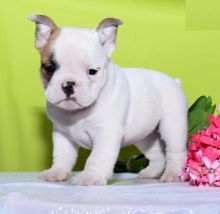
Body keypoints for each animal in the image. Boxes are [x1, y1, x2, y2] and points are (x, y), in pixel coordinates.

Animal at [29, 15, 187, 186]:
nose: (69, 84)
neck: (77, 113)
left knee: (175, 151)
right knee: (157, 153)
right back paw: (151, 173)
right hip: (145, 136)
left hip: (172, 126)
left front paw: (90, 177)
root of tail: (174, 82)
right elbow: (63, 156)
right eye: (50, 68)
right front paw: (56, 172)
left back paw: (173, 174)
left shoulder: (106, 133)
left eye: (92, 71)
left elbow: (97, 157)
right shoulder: (62, 134)